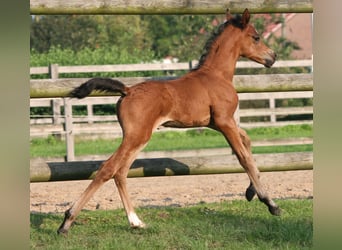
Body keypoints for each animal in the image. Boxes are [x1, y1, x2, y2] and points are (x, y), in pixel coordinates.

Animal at [56, 7, 280, 234]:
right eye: (256, 37)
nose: (273, 56)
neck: (216, 76)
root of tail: (127, 90)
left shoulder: (216, 123)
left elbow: (247, 142)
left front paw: (251, 192)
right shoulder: (224, 121)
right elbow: (243, 158)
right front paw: (269, 203)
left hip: (138, 138)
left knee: (121, 172)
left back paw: (135, 221)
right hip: (137, 136)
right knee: (108, 168)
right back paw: (67, 221)